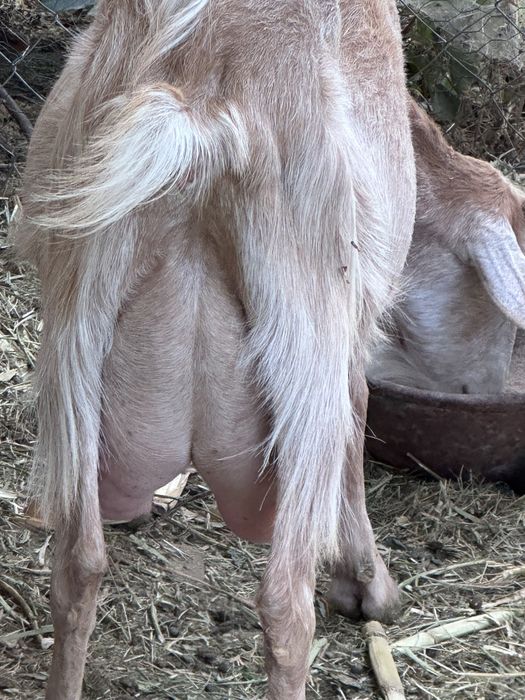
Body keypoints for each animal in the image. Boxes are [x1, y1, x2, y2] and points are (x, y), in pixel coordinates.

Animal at [13, 2, 415, 698]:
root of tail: (203, 98)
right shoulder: (355, 324)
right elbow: (361, 410)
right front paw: (369, 587)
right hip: (308, 351)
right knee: (285, 606)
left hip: (75, 340)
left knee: (77, 567)